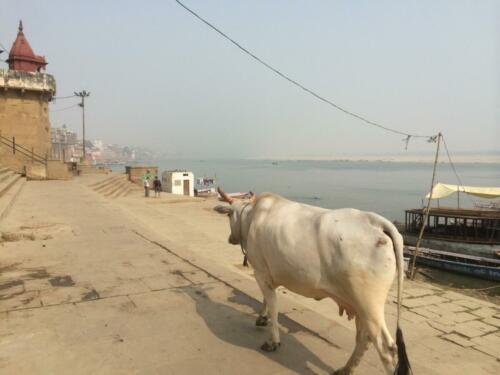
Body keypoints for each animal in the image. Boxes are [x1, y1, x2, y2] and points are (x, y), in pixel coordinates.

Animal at [218, 189, 410, 375]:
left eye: (229, 215)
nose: (230, 238)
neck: (251, 218)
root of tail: (378, 223)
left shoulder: (260, 272)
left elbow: (273, 306)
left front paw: (273, 340)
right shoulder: (270, 275)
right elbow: (267, 300)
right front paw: (261, 318)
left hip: (368, 303)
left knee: (386, 348)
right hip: (361, 307)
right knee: (364, 337)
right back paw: (346, 369)